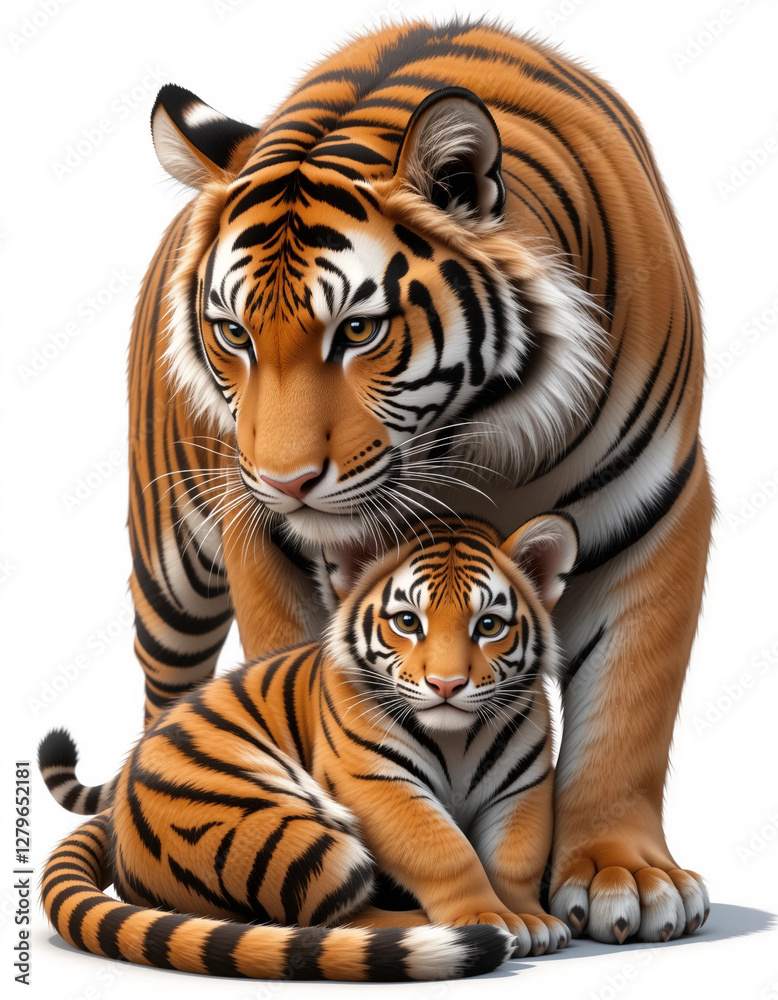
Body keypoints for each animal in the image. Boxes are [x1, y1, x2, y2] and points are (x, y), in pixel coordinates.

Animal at [40, 514, 577, 981]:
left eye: (488, 626)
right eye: (408, 622)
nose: (446, 685)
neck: (457, 736)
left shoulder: (524, 786)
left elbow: (516, 855)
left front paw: (528, 918)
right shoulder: (375, 781)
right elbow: (444, 851)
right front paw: (486, 917)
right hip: (284, 834)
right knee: (332, 919)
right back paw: (430, 927)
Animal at [122, 16, 712, 944]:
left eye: (358, 331)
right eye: (234, 334)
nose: (283, 482)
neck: (469, 440)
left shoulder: (655, 509)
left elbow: (628, 712)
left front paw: (626, 877)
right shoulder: (268, 544)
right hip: (171, 567)